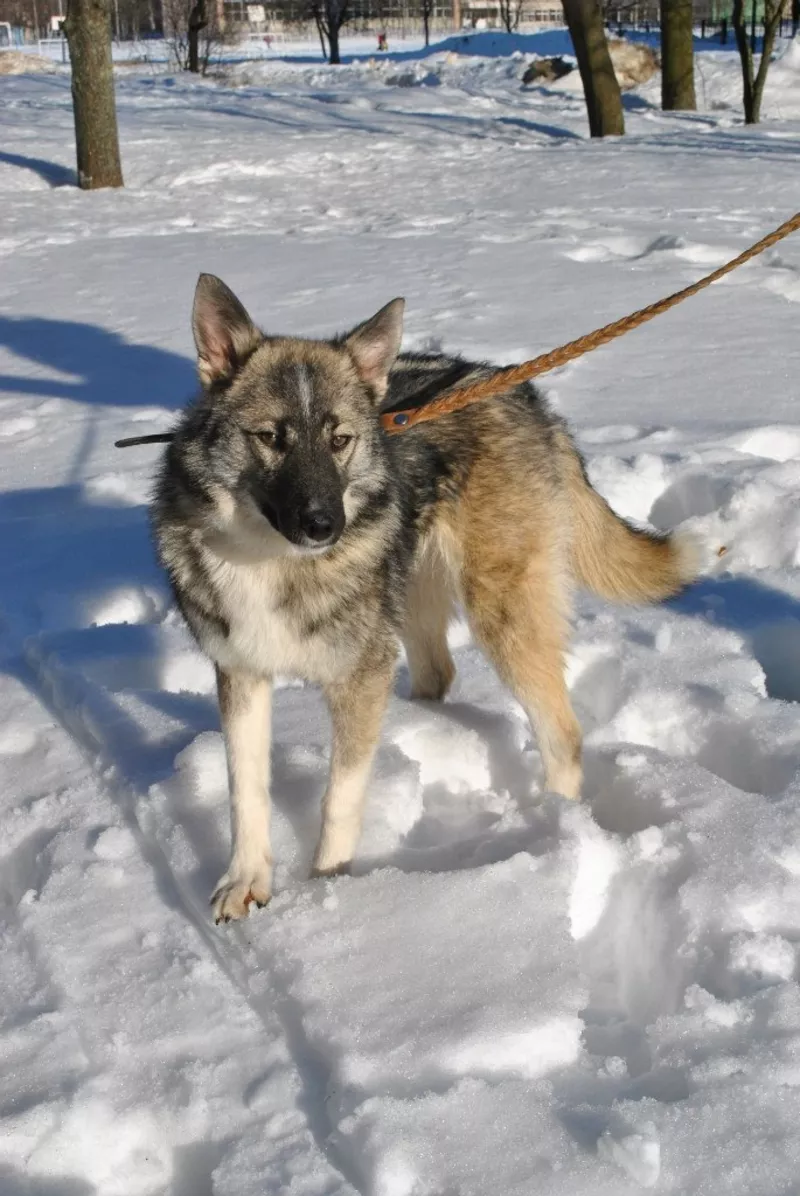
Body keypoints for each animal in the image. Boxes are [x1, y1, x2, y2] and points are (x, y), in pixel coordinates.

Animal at [151, 277, 698, 923]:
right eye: (270, 438)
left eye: (340, 440)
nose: (324, 525)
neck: (274, 561)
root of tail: (524, 394)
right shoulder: (241, 671)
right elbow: (246, 790)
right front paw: (246, 882)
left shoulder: (359, 678)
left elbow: (340, 799)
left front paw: (328, 895)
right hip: (414, 599)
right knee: (439, 673)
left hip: (500, 608)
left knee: (561, 731)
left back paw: (554, 825)